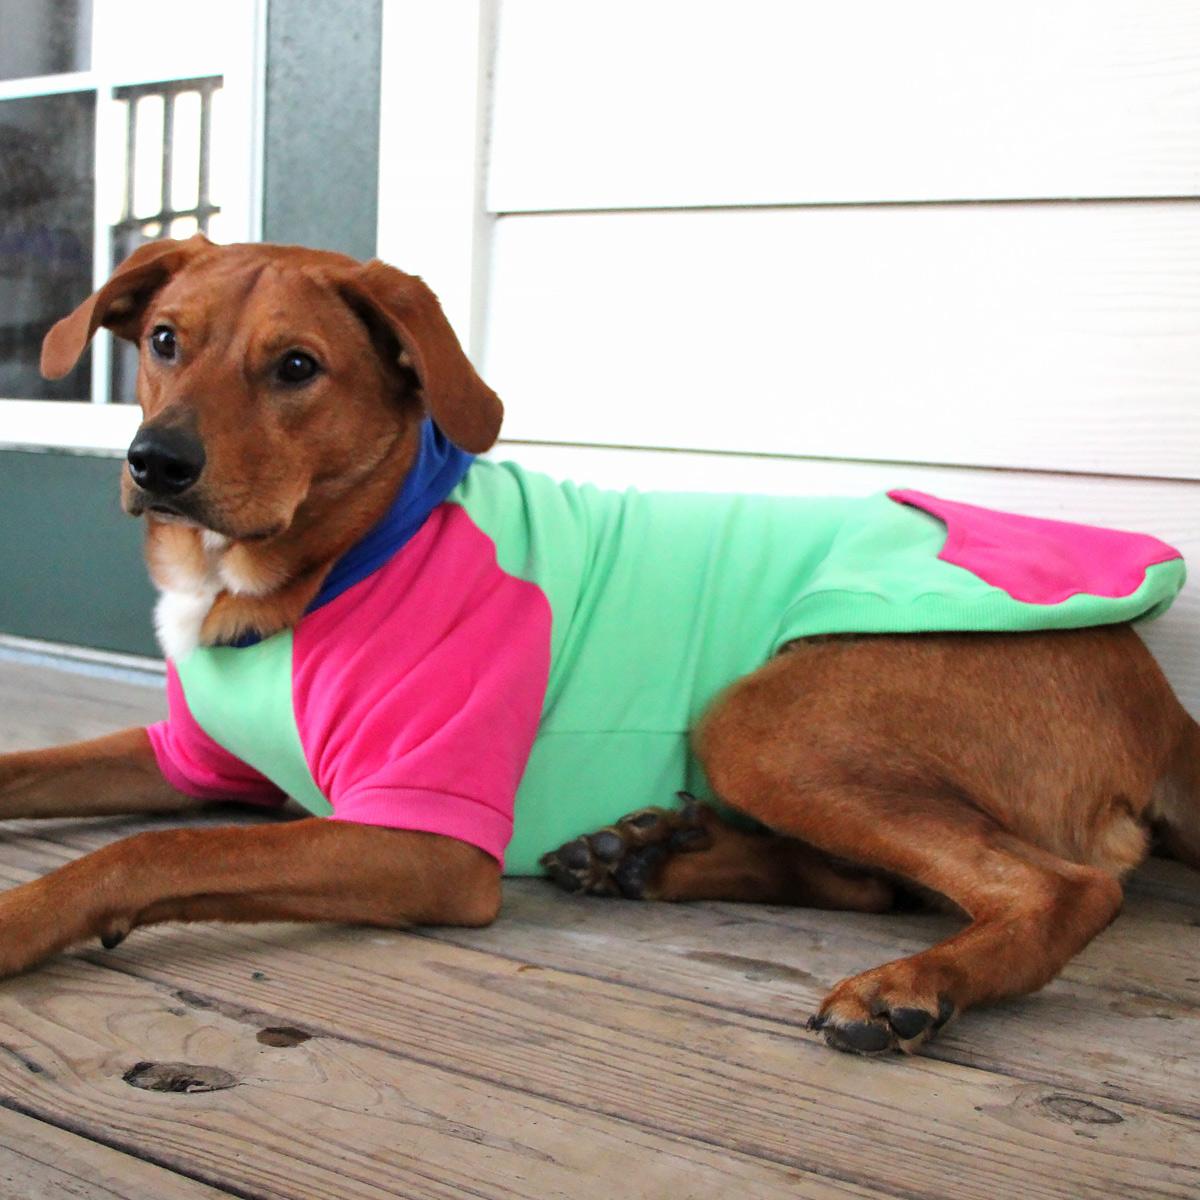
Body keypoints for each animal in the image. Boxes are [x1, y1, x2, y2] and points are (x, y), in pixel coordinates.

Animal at [1, 234, 1196, 1057]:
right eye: (164, 342)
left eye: (296, 367)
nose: (154, 463)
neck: (326, 568)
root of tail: (1157, 693)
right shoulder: (189, 759)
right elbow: (30, 771)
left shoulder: (423, 841)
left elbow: (152, 855)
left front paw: (19, 920)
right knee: (880, 885)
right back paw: (648, 858)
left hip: (760, 717)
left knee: (1057, 890)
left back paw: (911, 984)